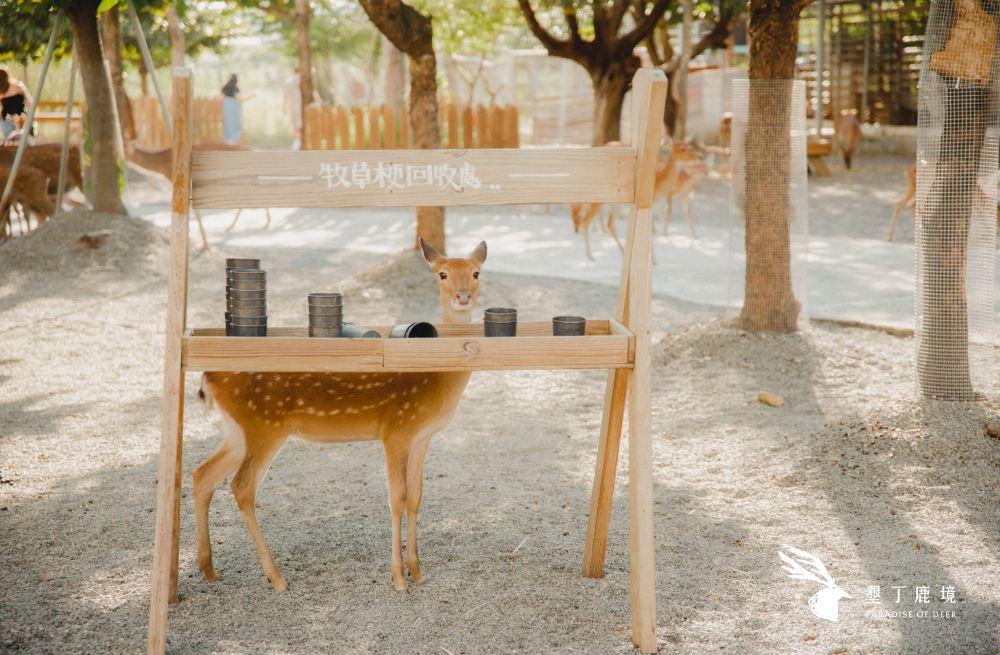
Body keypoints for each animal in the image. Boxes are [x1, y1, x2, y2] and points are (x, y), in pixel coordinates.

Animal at [194, 238, 488, 594]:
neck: (438, 379)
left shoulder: (422, 436)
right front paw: (398, 579)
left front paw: (418, 572)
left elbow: (417, 496)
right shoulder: (396, 428)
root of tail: (208, 377)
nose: (463, 295)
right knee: (240, 485)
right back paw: (276, 577)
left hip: (237, 429)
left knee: (202, 474)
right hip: (264, 425)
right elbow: (397, 498)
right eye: (441, 274)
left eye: (476, 271)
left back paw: (209, 569)